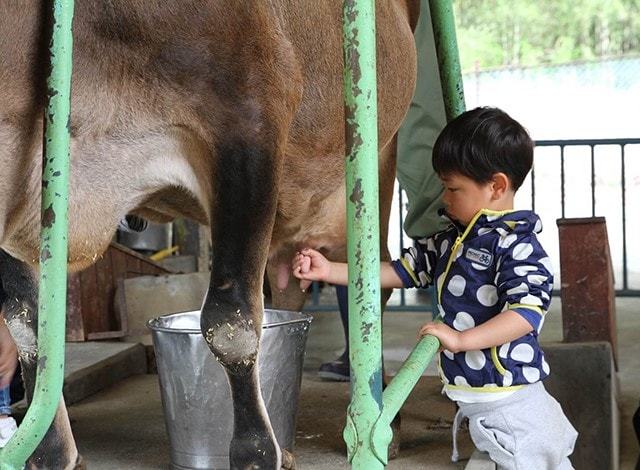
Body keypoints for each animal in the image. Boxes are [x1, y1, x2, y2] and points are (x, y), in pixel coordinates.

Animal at [0, 1, 420, 468]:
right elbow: (26, 325)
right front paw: (49, 453)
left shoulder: (250, 119)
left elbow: (229, 322)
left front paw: (255, 454)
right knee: (288, 286)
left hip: (375, 155)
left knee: (369, 282)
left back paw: (383, 421)